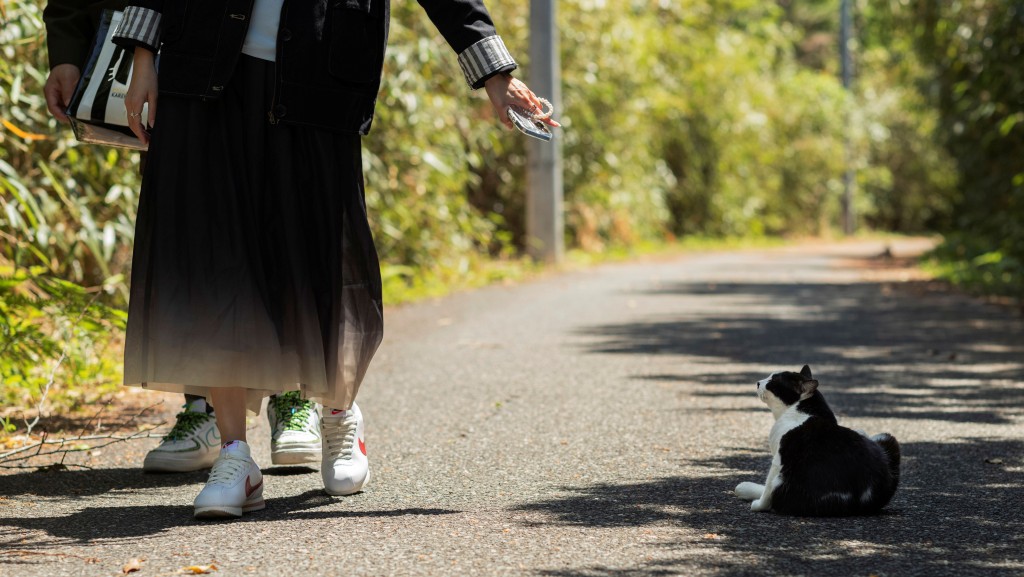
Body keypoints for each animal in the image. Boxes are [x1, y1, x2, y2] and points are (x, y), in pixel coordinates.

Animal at [737, 368, 897, 516]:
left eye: (772, 381)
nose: (758, 383)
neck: (803, 411)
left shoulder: (778, 459)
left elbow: (768, 490)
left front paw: (758, 506)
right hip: (882, 437)